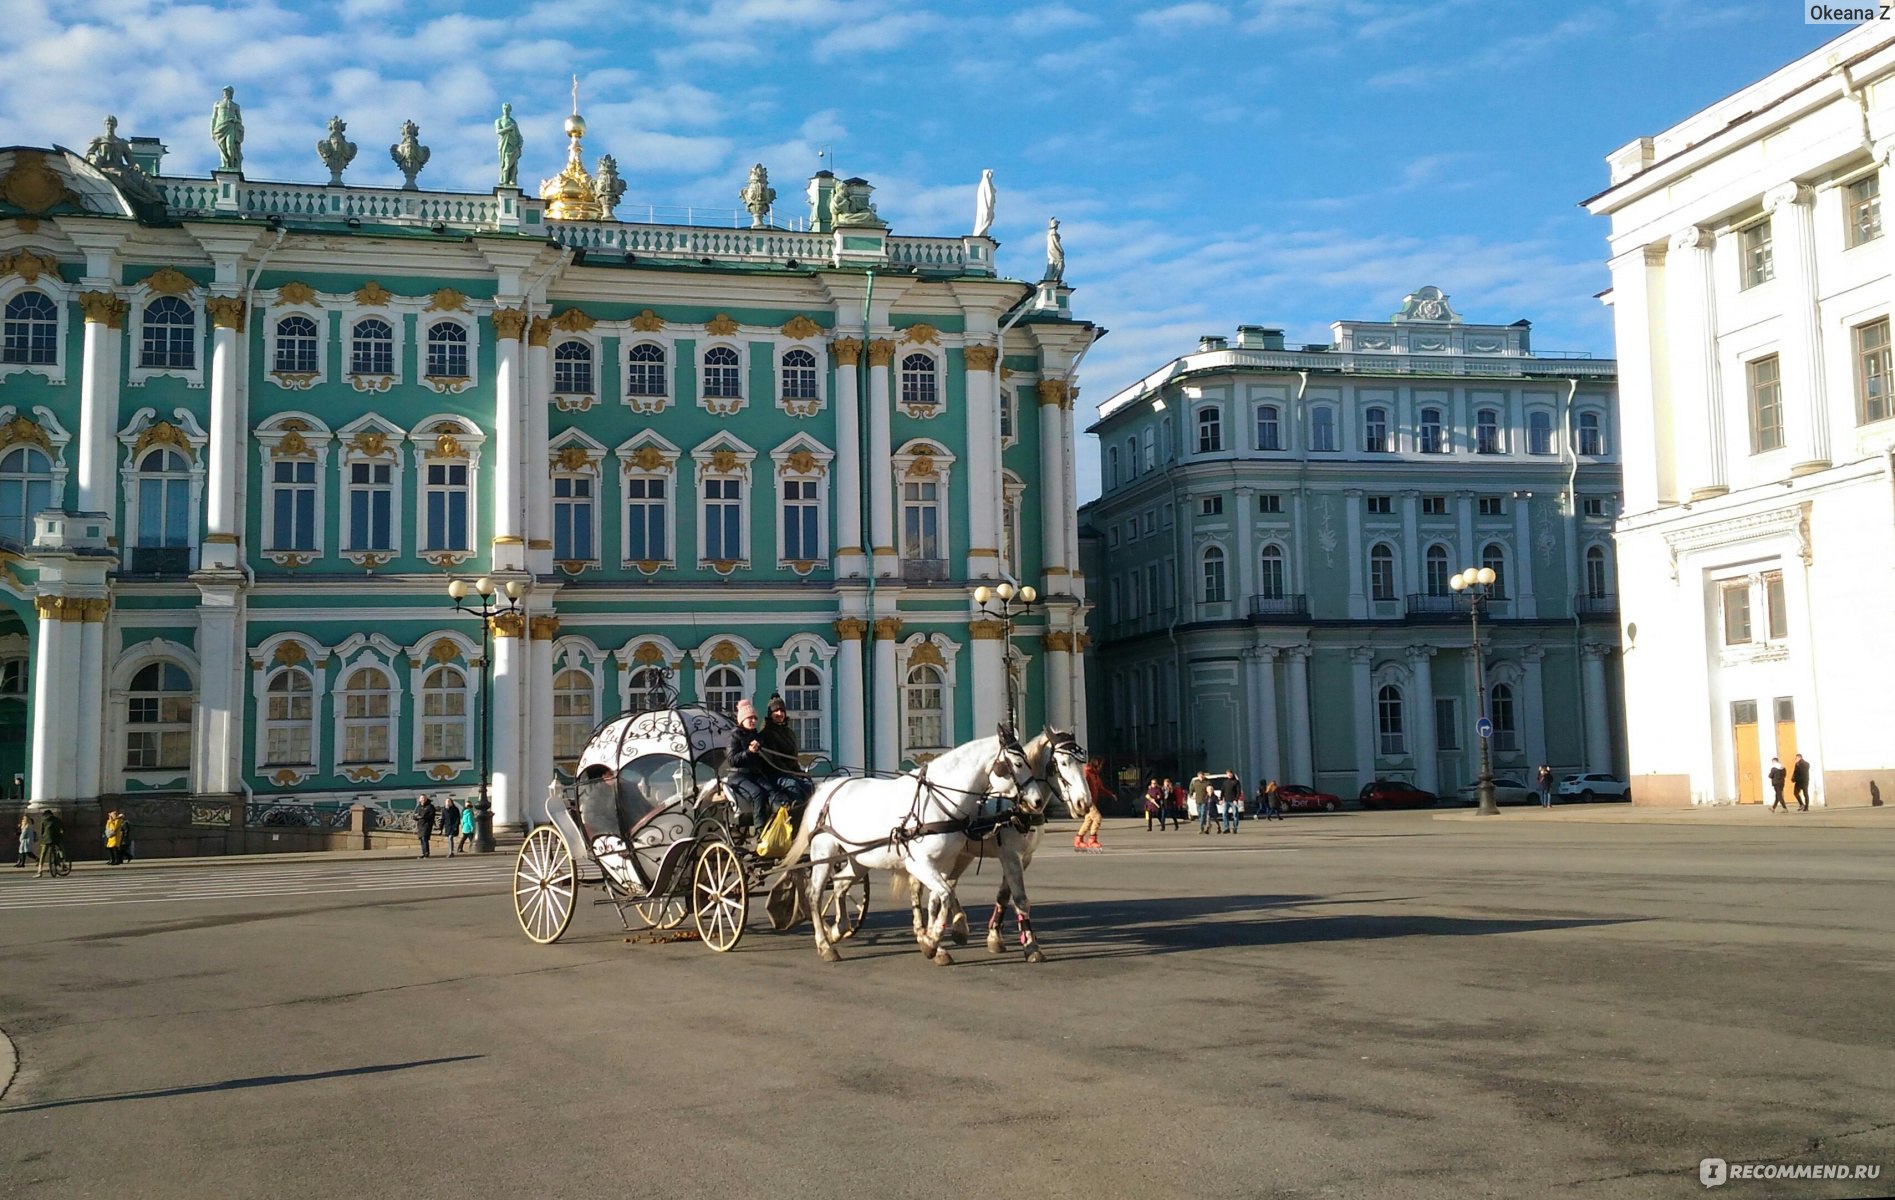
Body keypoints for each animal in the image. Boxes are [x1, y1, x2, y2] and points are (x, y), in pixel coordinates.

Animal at [788, 720, 1053, 963]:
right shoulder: (919, 864)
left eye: (1030, 762)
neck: (936, 801)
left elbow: (937, 901)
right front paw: (932, 942)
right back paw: (825, 945)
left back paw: (838, 929)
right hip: (824, 853)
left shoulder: (944, 864)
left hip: (859, 859)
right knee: (814, 894)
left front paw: (932, 942)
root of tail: (829, 786)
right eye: (1017, 764)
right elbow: (944, 894)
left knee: (840, 884)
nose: (1037, 801)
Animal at [890, 720, 1091, 963]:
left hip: (959, 856)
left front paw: (995, 937)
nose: (1084, 803)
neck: (1016, 807)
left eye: (1082, 762)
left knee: (948, 886)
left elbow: (1004, 895)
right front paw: (1031, 946)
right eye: (1062, 763)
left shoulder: (1024, 858)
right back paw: (926, 935)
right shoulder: (1010, 856)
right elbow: (1021, 899)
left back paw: (957, 927)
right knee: (919, 888)